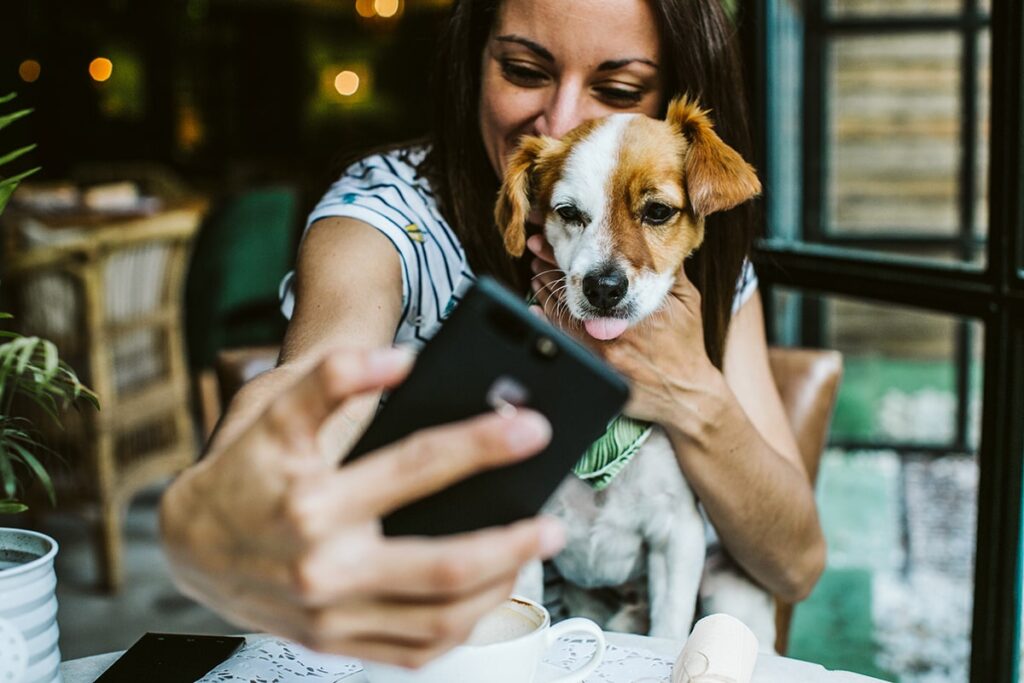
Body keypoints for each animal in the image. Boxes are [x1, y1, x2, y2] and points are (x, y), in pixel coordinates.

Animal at [495, 94, 774, 647]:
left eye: (658, 211)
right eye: (568, 213)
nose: (604, 287)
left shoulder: (677, 538)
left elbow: (670, 630)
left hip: (731, 592)